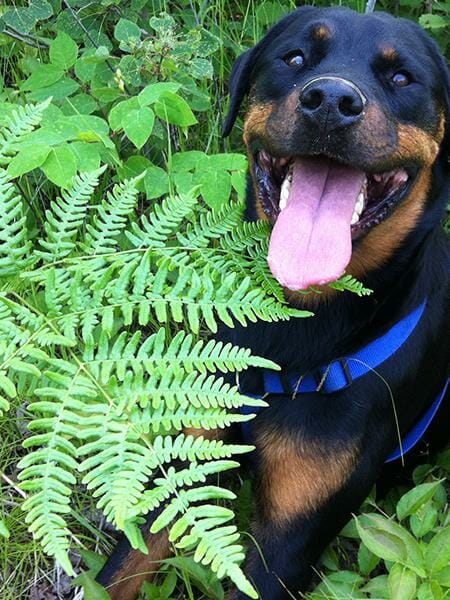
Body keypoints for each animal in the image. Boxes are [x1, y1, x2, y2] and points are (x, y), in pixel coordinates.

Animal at [96, 5, 448, 600]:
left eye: (402, 78)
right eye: (295, 57)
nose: (330, 101)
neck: (294, 324)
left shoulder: (290, 542)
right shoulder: (186, 459)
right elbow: (120, 568)